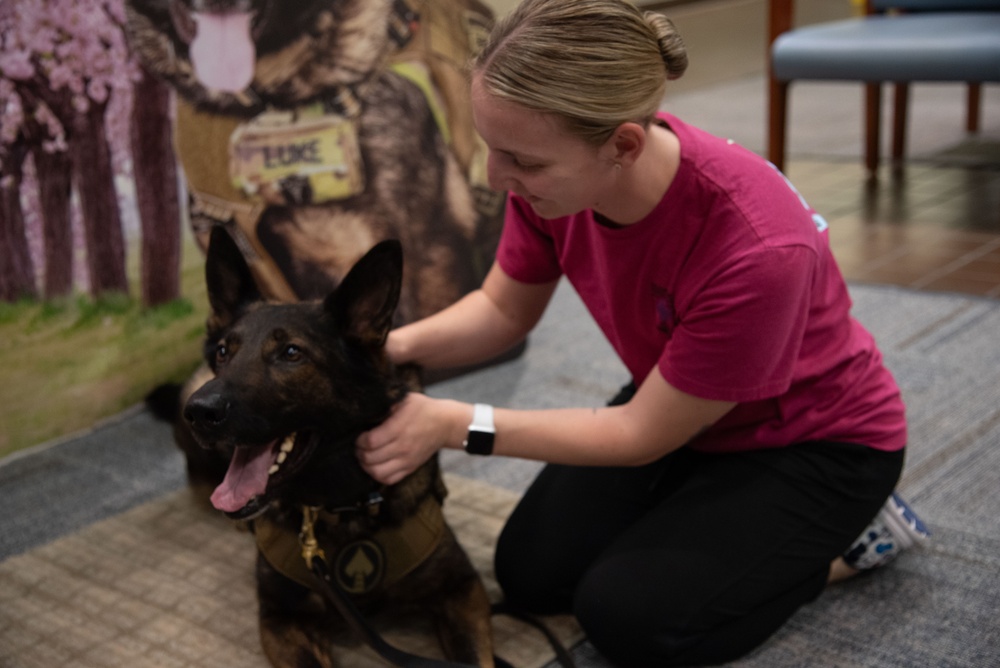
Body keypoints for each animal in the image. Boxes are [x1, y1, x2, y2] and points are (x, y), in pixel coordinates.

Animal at [184, 227, 496, 664]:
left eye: (291, 353)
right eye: (224, 352)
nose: (199, 413)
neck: (339, 507)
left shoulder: (461, 587)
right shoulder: (280, 617)